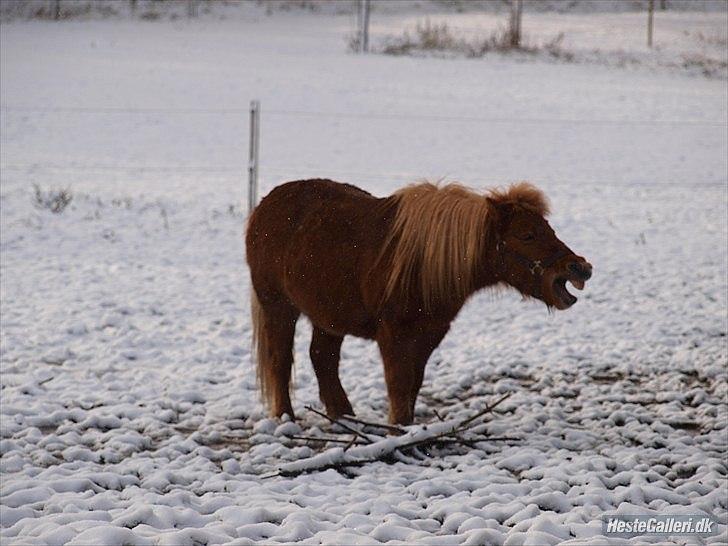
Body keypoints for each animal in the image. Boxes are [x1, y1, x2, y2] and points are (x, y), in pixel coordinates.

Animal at [245, 181, 592, 422]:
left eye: (548, 228)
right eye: (527, 235)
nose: (579, 268)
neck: (424, 261)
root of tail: (265, 206)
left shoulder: (430, 333)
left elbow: (413, 383)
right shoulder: (393, 333)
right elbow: (398, 382)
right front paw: (397, 428)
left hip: (328, 317)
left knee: (322, 358)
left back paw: (344, 416)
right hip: (278, 307)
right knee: (280, 361)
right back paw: (285, 418)